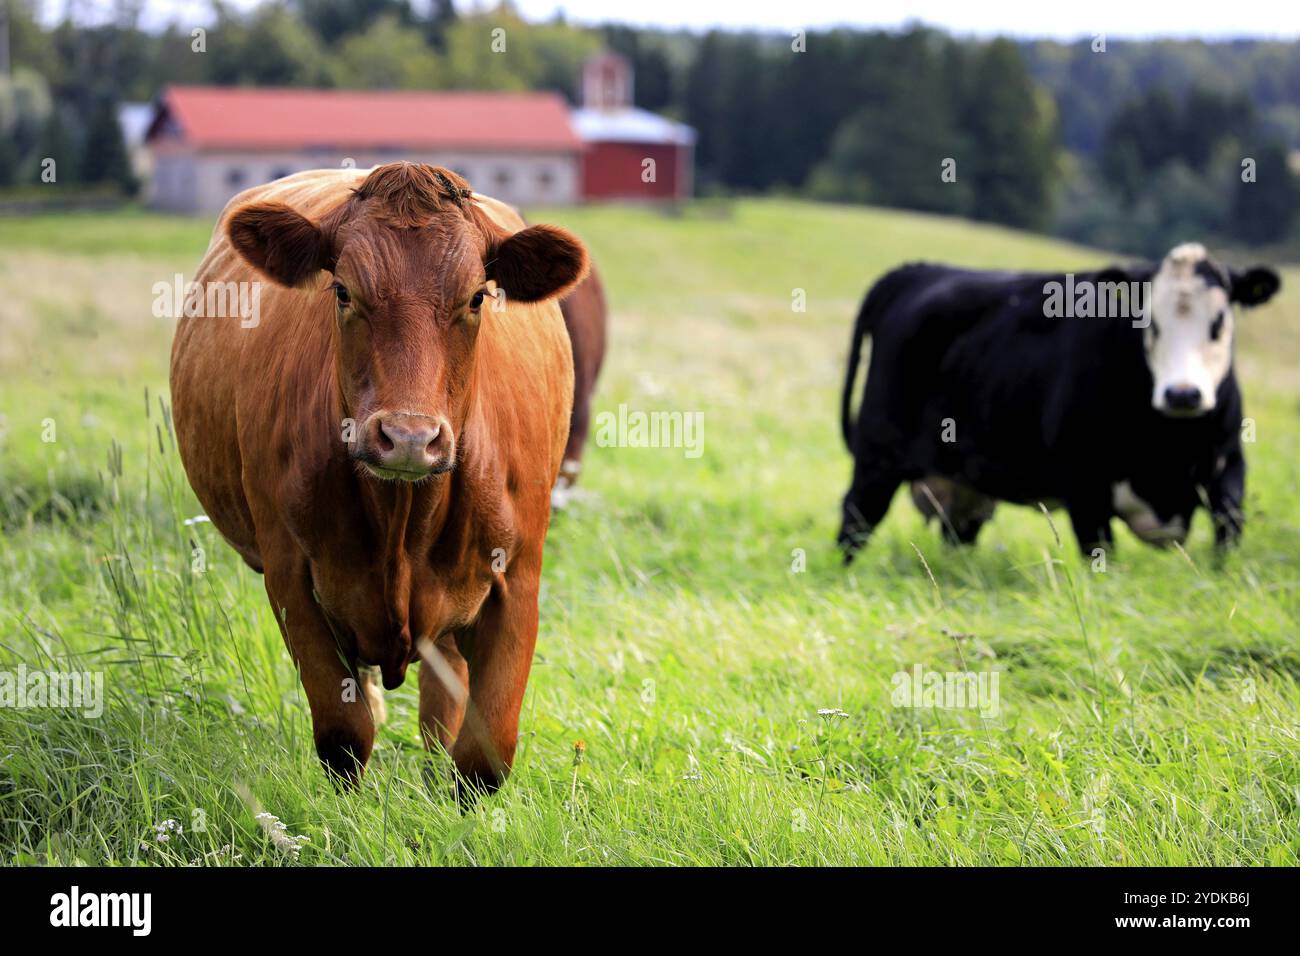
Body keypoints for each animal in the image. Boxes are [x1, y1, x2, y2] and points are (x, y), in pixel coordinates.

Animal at [170, 162, 587, 790]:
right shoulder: (291, 578)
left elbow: (483, 755)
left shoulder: (518, 578)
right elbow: (345, 735)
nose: (409, 437)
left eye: (477, 297)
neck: (402, 519)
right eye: (343, 291)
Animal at [842, 243, 1279, 561]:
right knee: (855, 518)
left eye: (1219, 321)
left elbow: (1228, 537)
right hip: (878, 458)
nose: (1183, 393)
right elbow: (1100, 554)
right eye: (1149, 322)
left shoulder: (1228, 468)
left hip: (964, 480)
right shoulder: (1084, 482)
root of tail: (917, 270)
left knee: (958, 532)